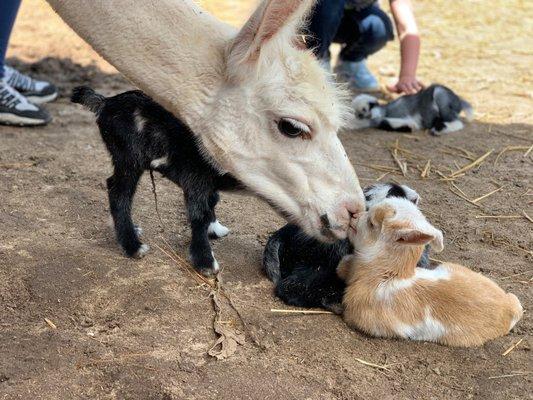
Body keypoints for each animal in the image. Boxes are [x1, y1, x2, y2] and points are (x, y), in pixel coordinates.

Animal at [71, 86, 242, 276]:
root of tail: (106, 102)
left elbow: (212, 200)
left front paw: (214, 229)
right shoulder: (195, 175)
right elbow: (199, 215)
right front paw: (205, 262)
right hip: (129, 157)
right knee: (119, 193)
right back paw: (132, 245)